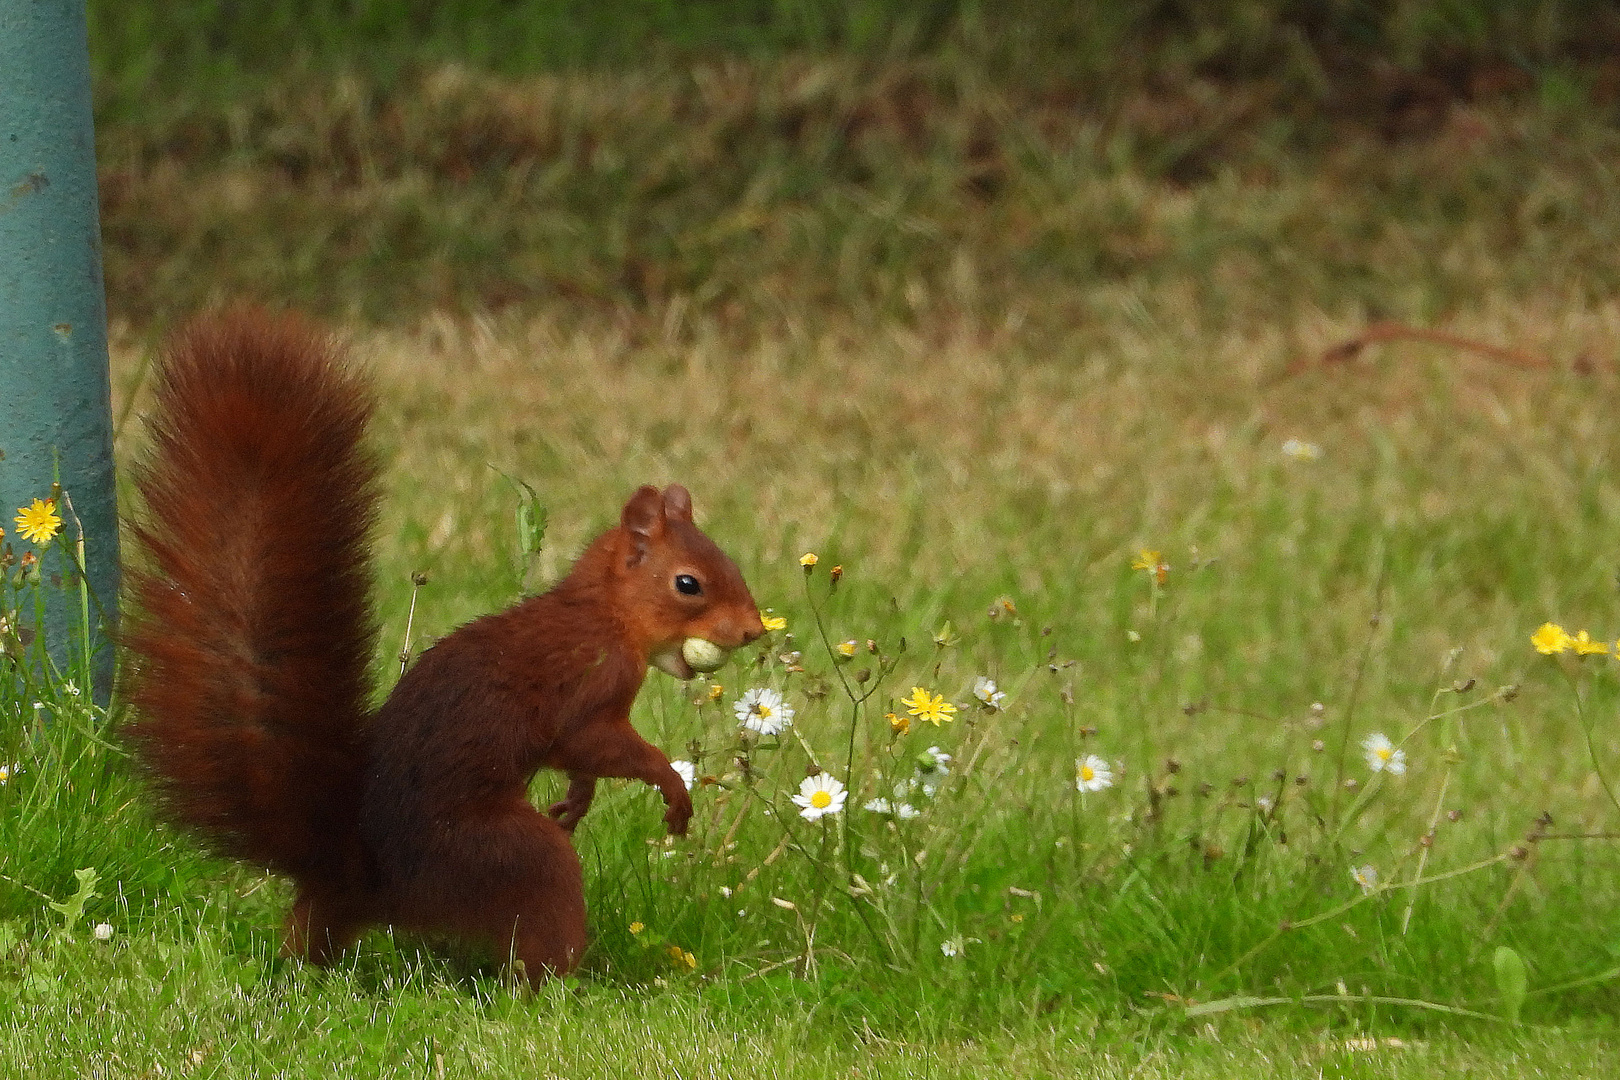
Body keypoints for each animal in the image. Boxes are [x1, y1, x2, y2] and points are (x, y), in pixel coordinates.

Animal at [119, 307, 764, 984]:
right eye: (688, 584)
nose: (753, 630)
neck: (603, 614)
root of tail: (361, 875)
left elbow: (578, 758)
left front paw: (579, 798)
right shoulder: (594, 682)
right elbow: (596, 741)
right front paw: (670, 787)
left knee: (312, 935)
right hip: (505, 858)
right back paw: (565, 983)